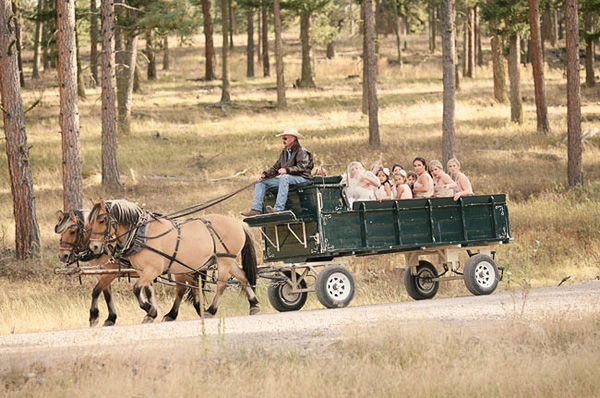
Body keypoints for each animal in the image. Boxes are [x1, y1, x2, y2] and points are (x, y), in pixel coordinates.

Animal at [85, 199, 258, 324]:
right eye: (89, 223)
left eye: (101, 220)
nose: (94, 247)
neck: (142, 233)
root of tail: (239, 223)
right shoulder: (143, 271)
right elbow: (146, 290)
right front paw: (151, 311)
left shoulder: (152, 270)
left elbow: (136, 289)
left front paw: (148, 308)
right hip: (228, 260)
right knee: (243, 277)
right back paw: (254, 304)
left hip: (224, 261)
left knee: (222, 284)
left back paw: (210, 310)